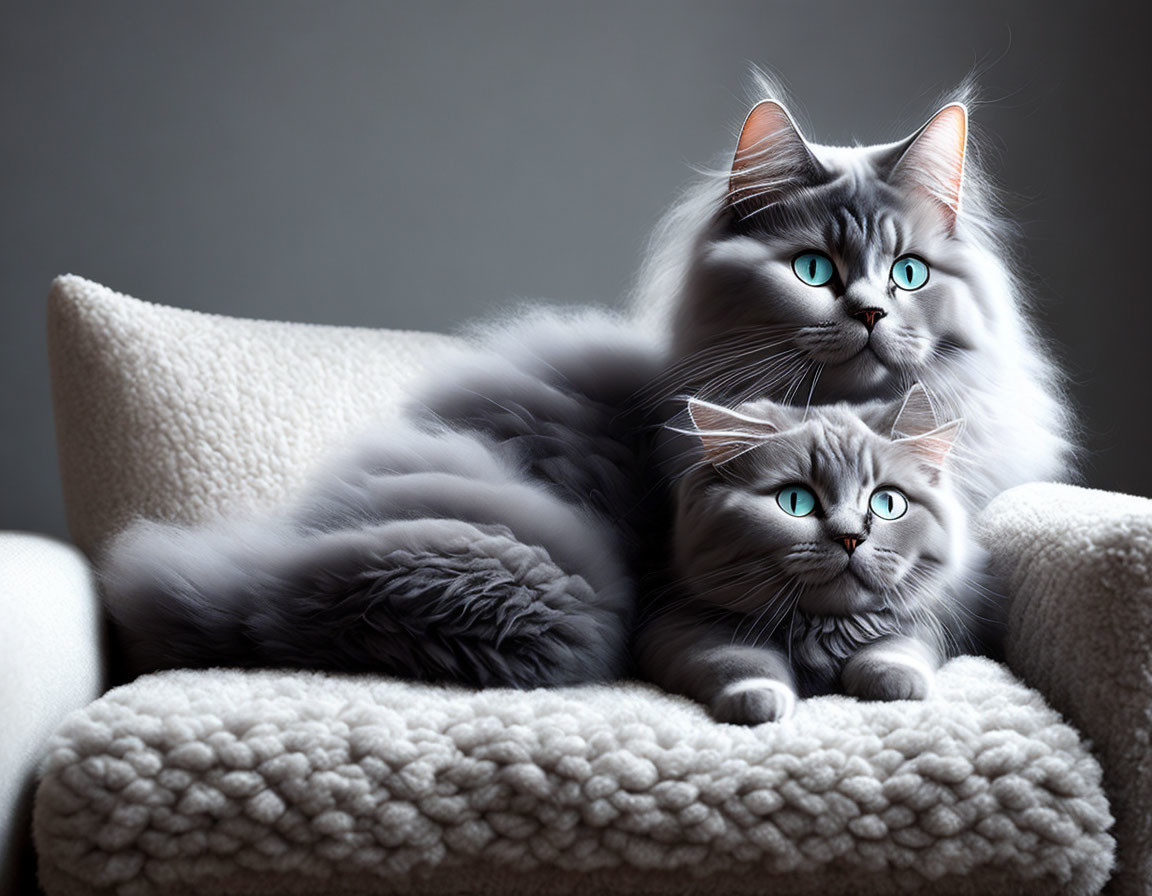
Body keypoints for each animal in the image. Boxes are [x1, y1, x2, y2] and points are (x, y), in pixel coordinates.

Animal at [635, 380, 1004, 723]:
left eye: (888, 503)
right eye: (795, 501)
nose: (850, 538)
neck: (823, 631)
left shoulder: (927, 623)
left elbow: (894, 648)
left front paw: (893, 682)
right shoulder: (680, 627)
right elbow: (736, 661)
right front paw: (757, 700)